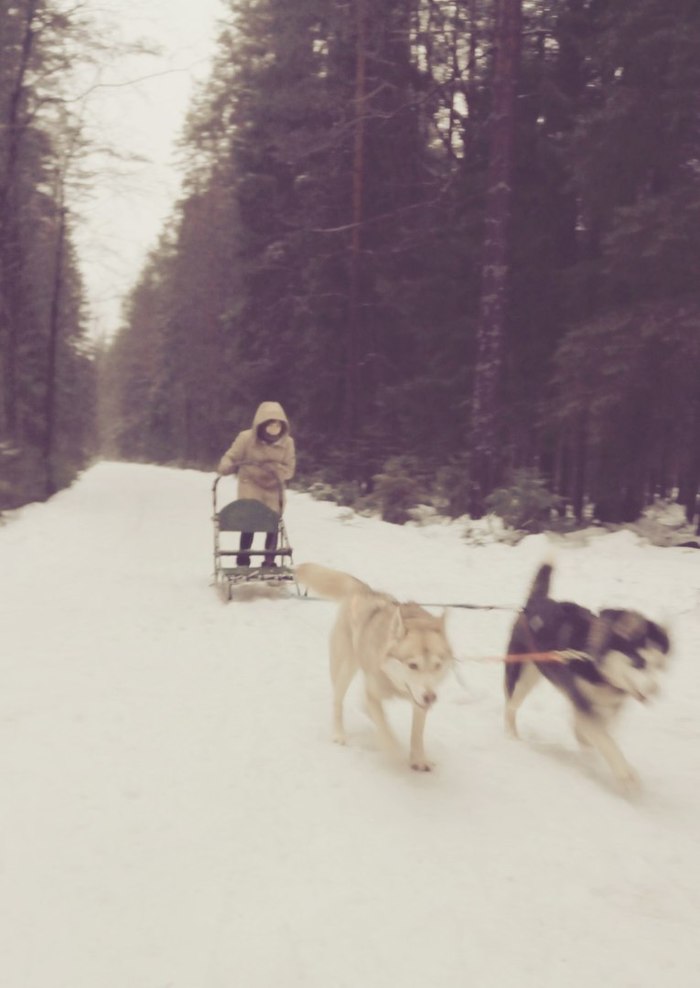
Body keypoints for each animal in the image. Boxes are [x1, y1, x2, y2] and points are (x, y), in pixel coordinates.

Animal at [295, 563, 453, 771]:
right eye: (412, 665)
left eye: (437, 665)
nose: (431, 697)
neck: (395, 683)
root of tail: (364, 590)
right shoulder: (374, 694)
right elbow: (385, 729)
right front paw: (395, 751)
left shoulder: (418, 702)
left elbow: (416, 734)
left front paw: (419, 758)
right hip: (345, 668)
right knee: (338, 702)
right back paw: (339, 733)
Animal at [504, 563, 671, 789]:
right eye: (640, 662)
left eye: (660, 665)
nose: (655, 690)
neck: (598, 667)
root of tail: (536, 601)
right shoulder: (583, 704)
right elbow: (605, 740)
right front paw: (625, 774)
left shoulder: (608, 708)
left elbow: (594, 735)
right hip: (522, 676)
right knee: (510, 706)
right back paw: (512, 737)